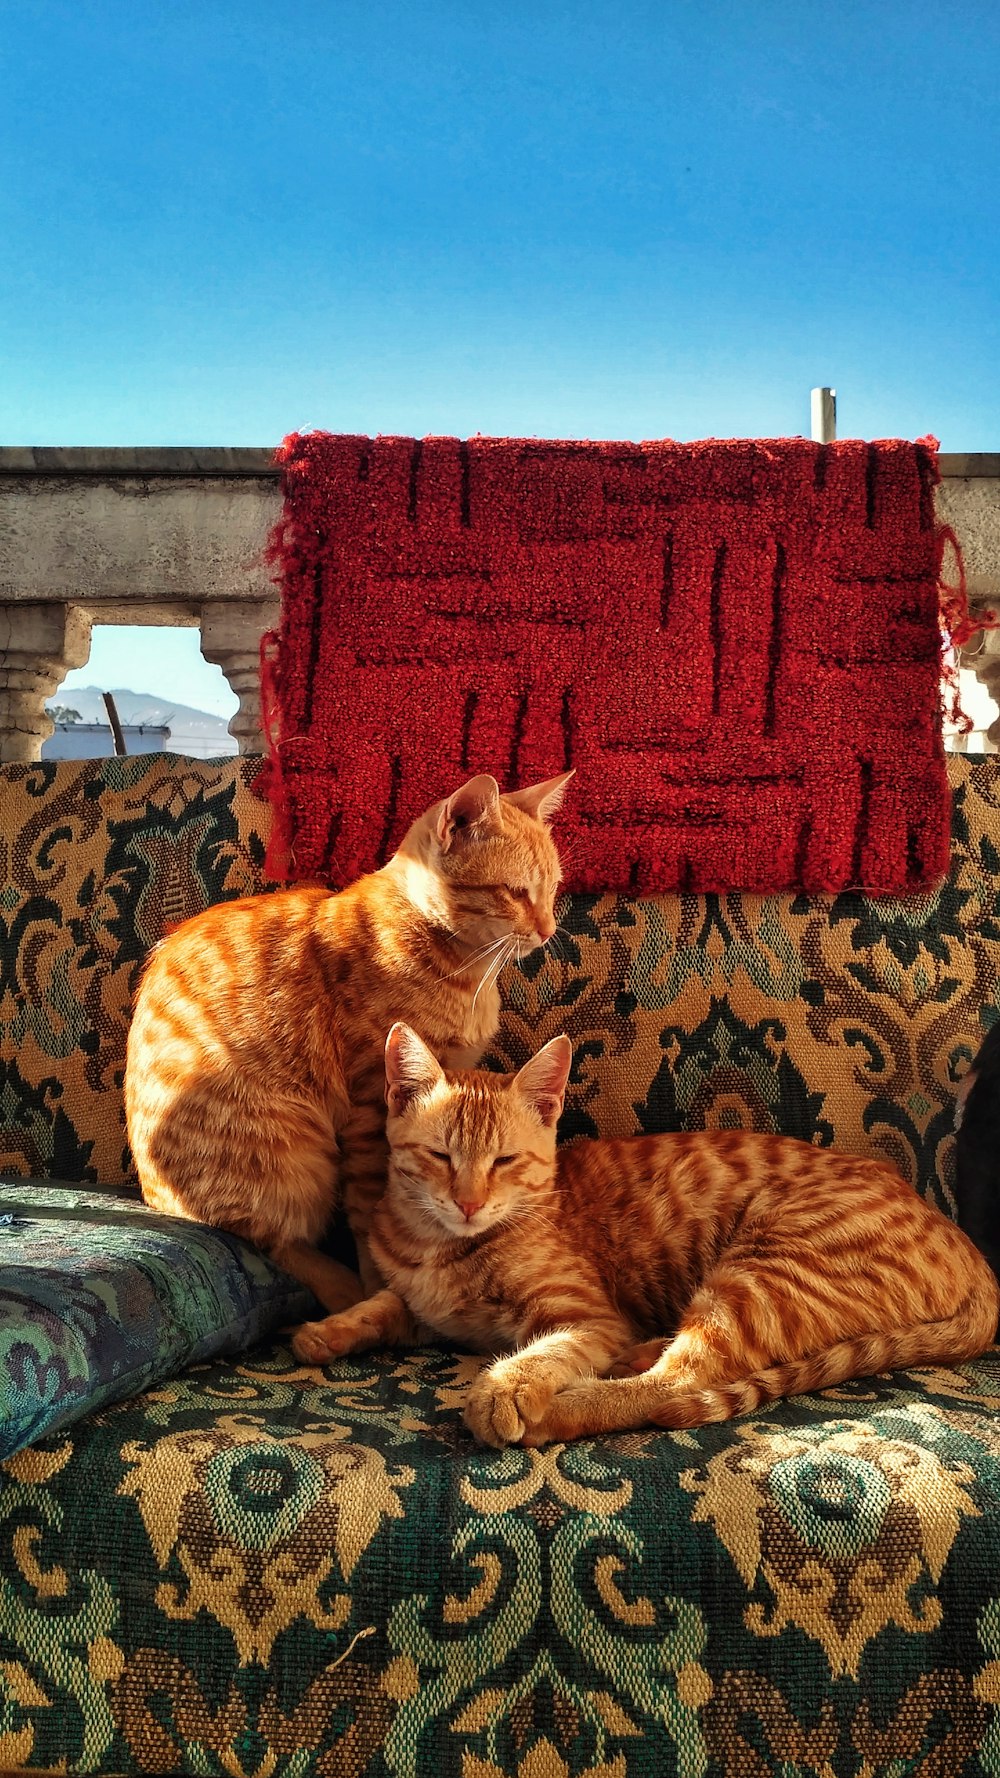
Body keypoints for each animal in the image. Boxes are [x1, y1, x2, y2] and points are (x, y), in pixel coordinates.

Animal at [124, 764, 569, 1337]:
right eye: (514, 892)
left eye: (553, 890)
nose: (549, 929)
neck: (461, 969)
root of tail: (155, 1200)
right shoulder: (368, 1104)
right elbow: (367, 1208)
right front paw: (377, 1288)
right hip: (290, 1150)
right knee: (268, 1235)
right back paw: (340, 1286)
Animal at [290, 1024, 996, 1450]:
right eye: (440, 1156)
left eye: (504, 1162)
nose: (468, 1202)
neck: (440, 1246)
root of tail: (975, 1258)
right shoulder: (429, 1311)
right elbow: (385, 1304)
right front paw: (328, 1331)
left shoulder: (587, 1316)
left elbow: (543, 1351)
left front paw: (505, 1388)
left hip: (760, 1275)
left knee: (678, 1385)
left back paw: (563, 1408)